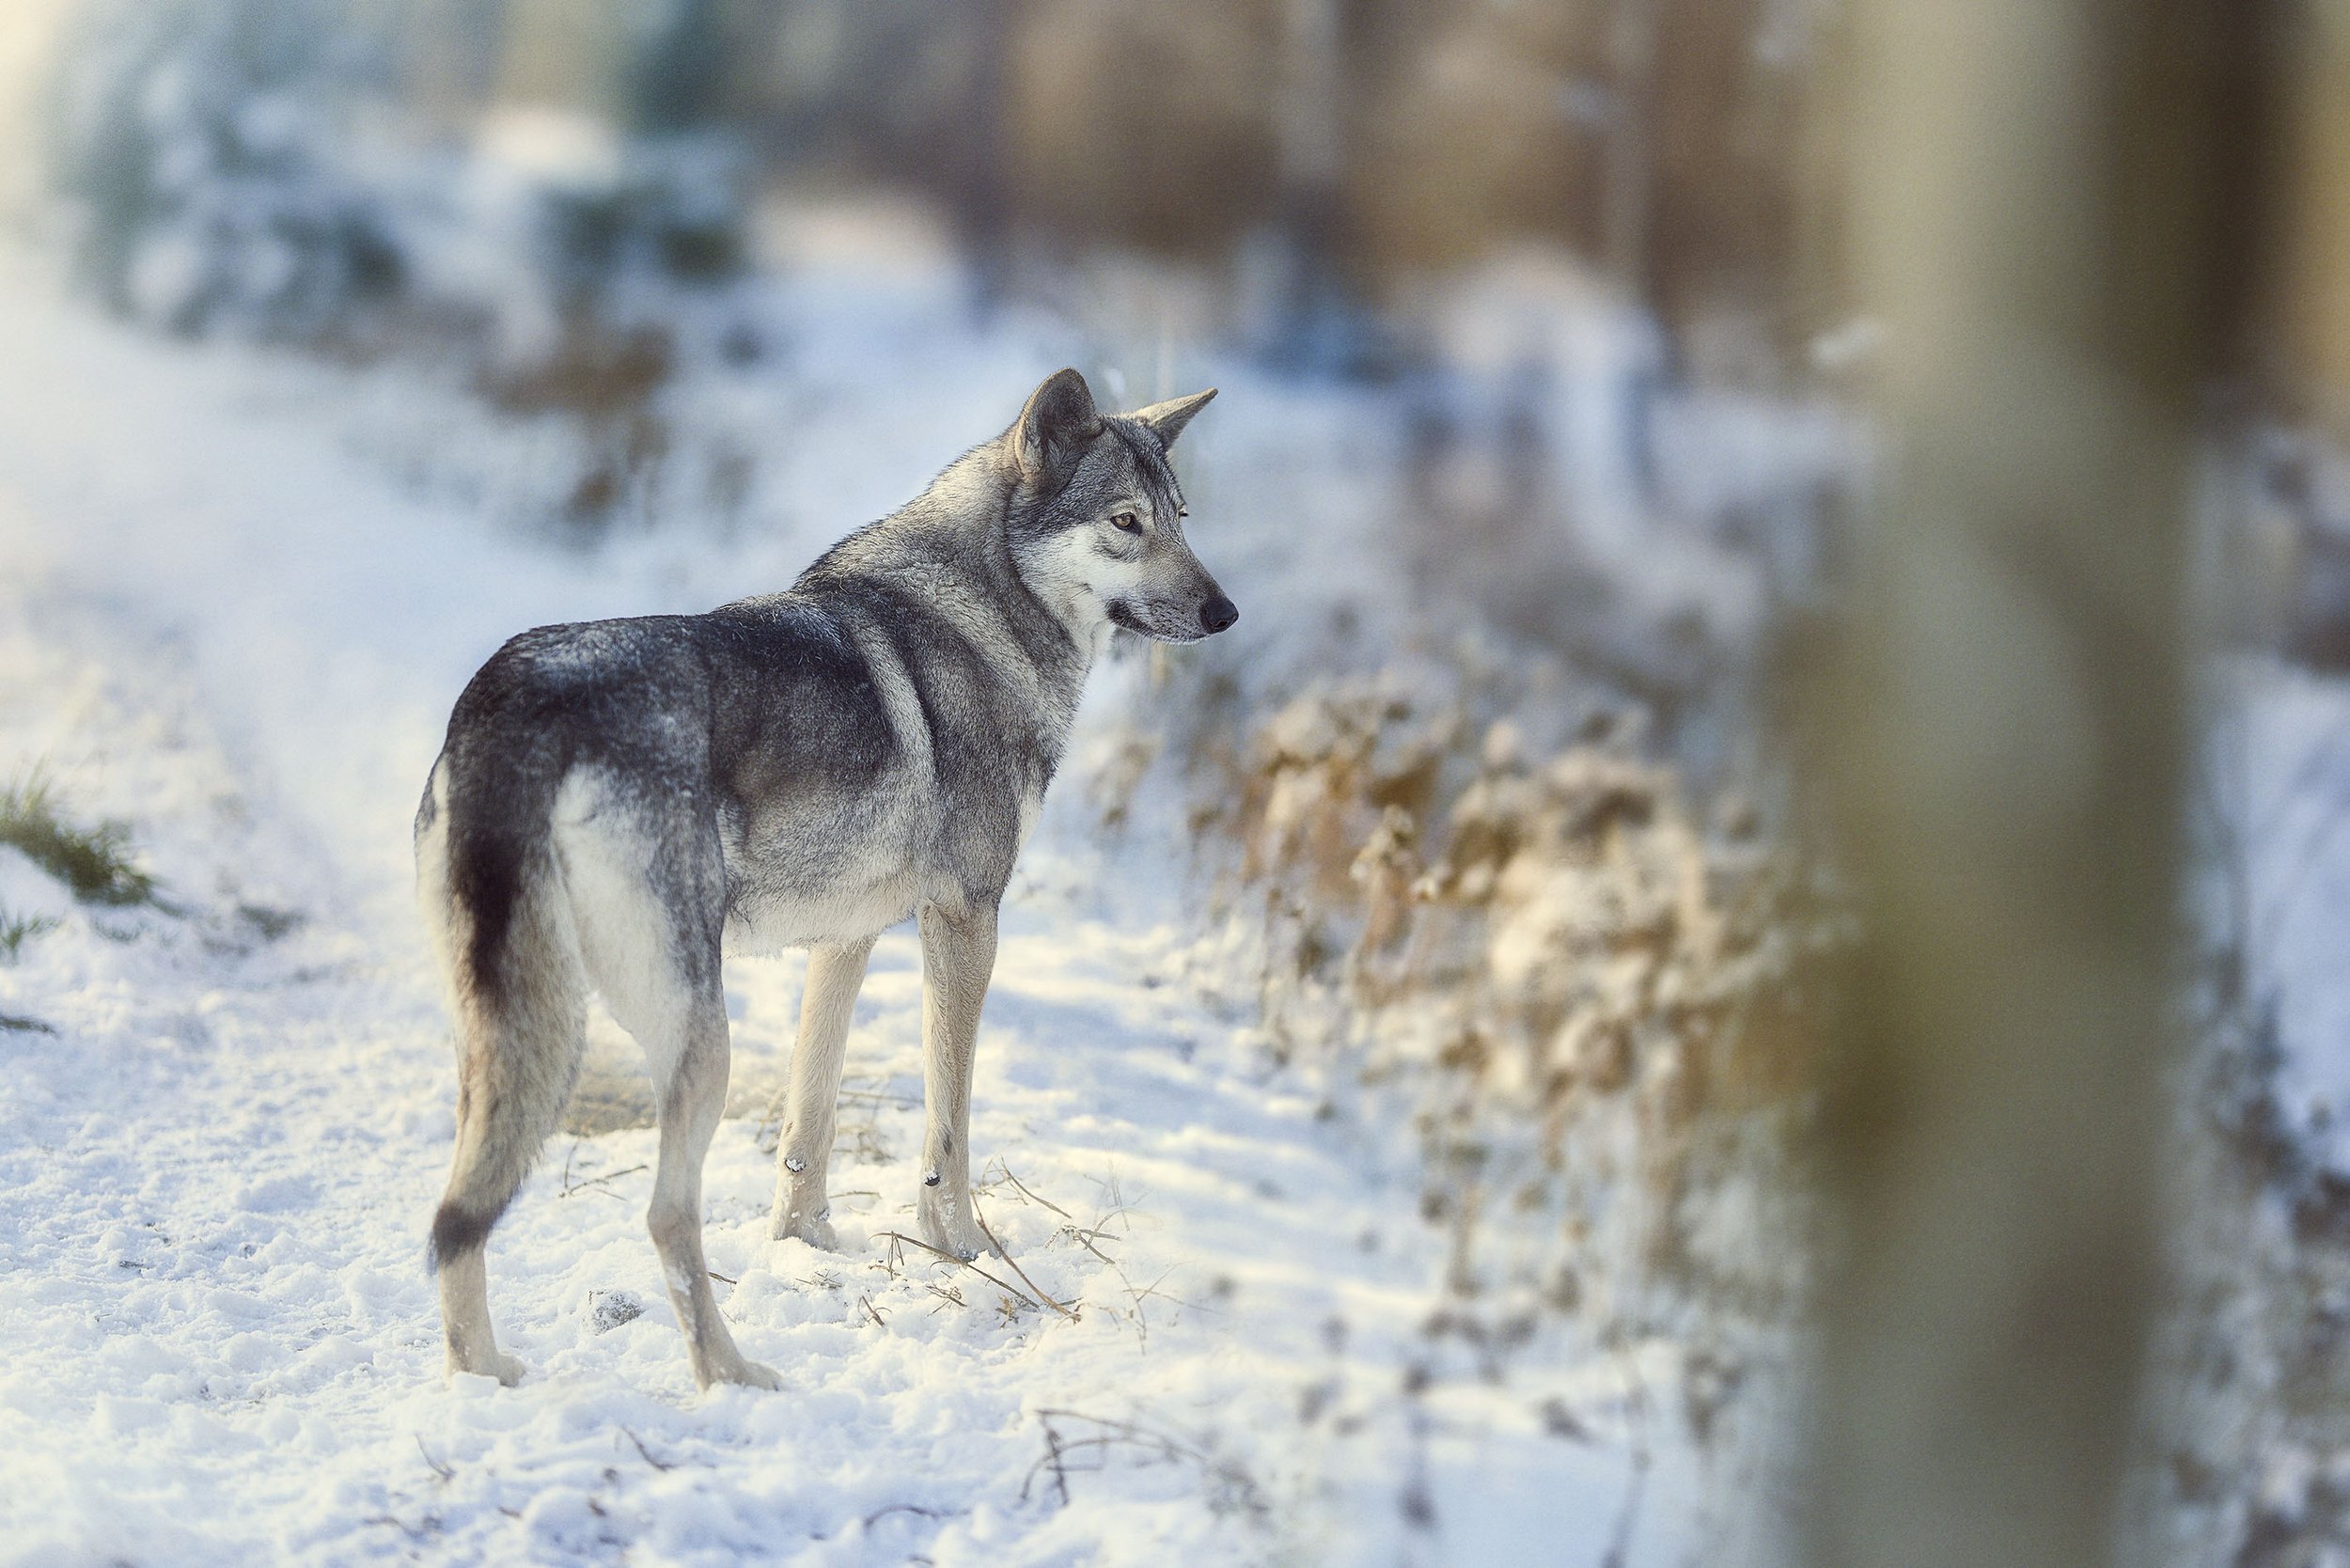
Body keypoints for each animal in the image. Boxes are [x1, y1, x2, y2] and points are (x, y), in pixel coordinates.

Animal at [413, 369, 1232, 1389]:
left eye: (1182, 518)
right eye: (1126, 522)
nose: (1225, 613)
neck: (983, 617)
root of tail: (517, 699)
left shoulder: (846, 940)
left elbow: (809, 1126)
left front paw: (809, 1249)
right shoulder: (965, 922)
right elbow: (949, 1128)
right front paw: (962, 1254)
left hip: (508, 1041)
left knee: (453, 1220)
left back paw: (486, 1380)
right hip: (692, 1037)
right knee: (663, 1215)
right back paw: (734, 1380)